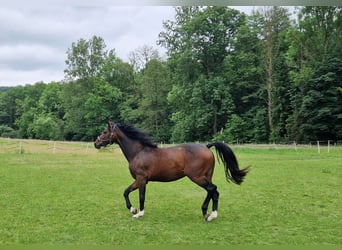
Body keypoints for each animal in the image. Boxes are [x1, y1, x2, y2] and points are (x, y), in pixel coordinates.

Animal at [93, 121, 248, 221]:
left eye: (105, 131)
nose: (96, 143)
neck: (139, 151)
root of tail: (207, 146)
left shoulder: (141, 179)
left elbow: (141, 196)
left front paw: (138, 213)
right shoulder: (140, 180)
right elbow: (126, 192)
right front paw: (133, 210)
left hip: (197, 177)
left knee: (212, 189)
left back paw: (210, 214)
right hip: (206, 176)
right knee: (213, 192)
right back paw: (208, 214)